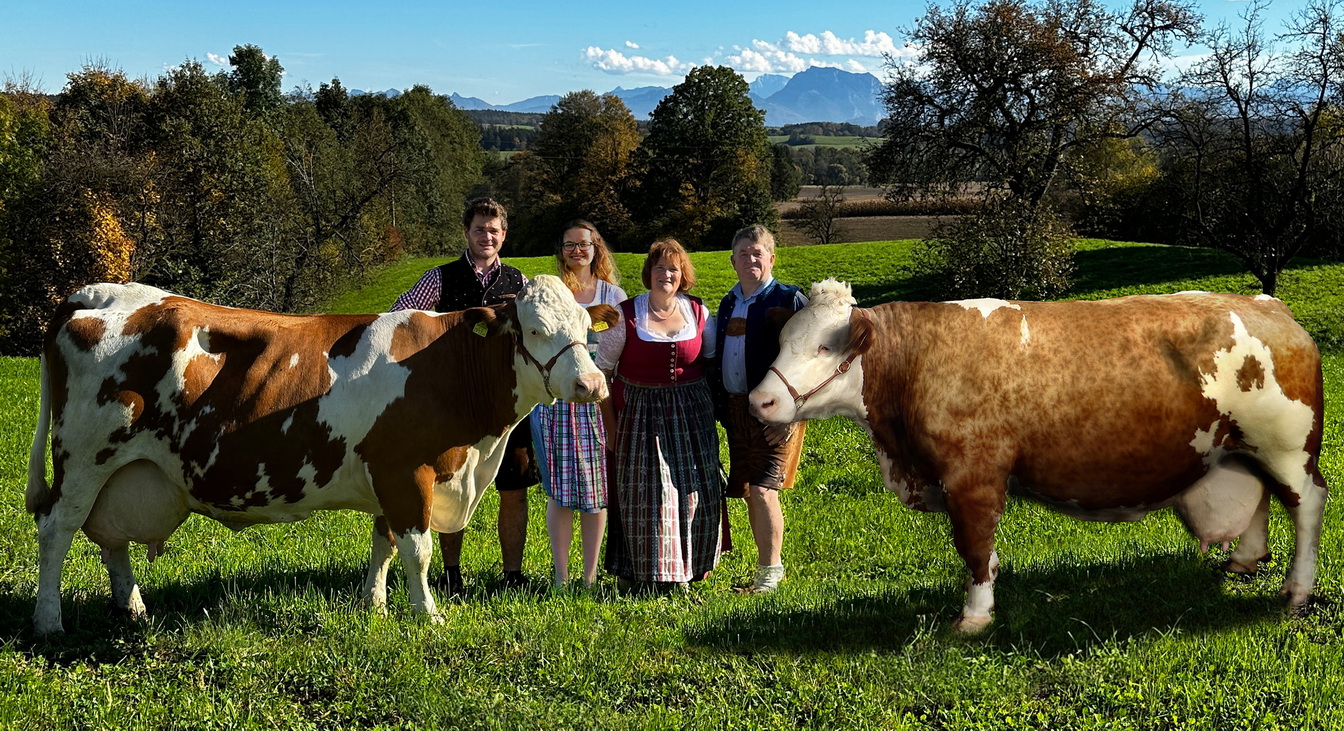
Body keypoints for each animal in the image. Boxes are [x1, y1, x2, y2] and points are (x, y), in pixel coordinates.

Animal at [26, 274, 615, 634]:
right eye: (535, 329)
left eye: (588, 329)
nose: (591, 385)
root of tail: (101, 292)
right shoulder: (406, 471)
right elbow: (418, 551)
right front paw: (428, 615)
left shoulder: (388, 476)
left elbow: (384, 546)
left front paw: (374, 605)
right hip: (84, 457)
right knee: (58, 529)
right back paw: (49, 621)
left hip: (123, 471)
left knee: (111, 537)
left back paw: (133, 609)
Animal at [752, 279, 1327, 634]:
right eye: (780, 341)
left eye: (826, 347)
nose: (762, 400)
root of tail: (1269, 305)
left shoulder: (972, 476)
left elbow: (974, 547)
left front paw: (974, 617)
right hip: (1241, 449)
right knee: (1260, 495)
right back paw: (1244, 561)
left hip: (1286, 447)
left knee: (1306, 504)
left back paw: (1296, 591)